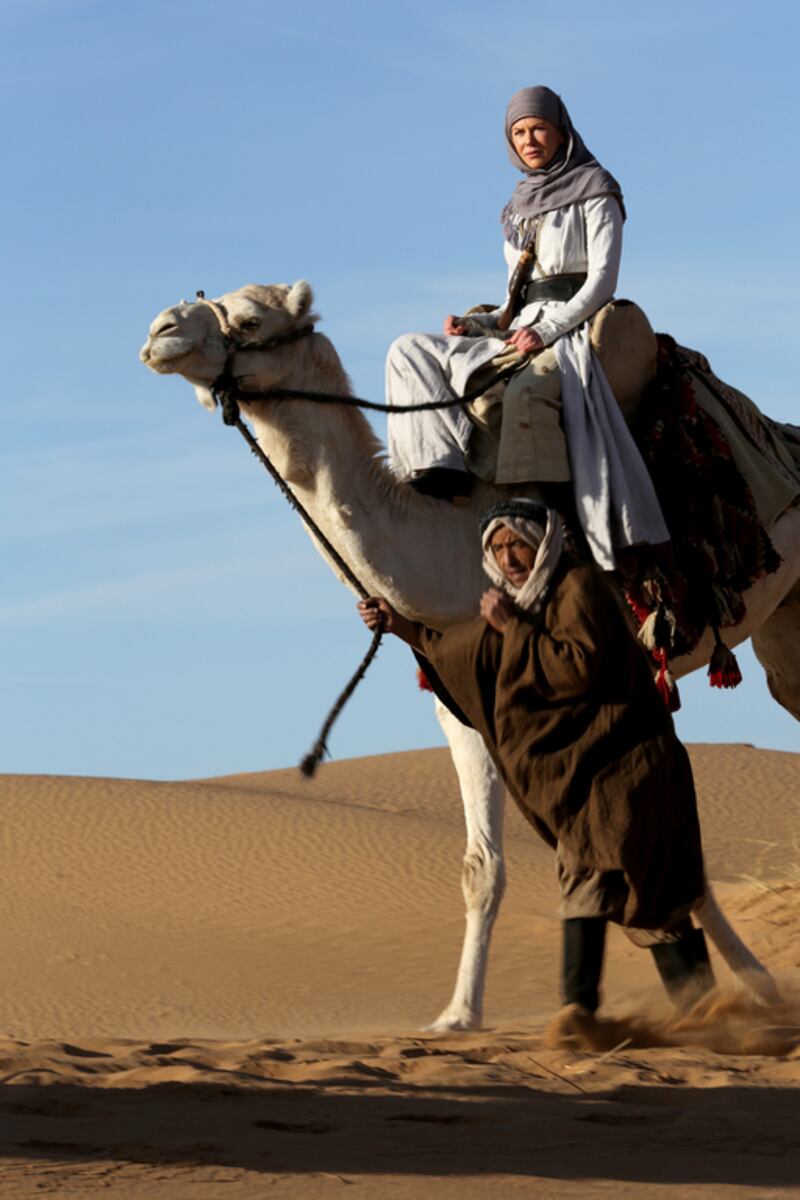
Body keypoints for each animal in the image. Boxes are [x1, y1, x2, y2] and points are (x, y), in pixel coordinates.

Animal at [140, 278, 796, 1022]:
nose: (160, 331)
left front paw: (739, 984)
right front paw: (457, 1014)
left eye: (249, 319)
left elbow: (647, 826)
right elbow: (483, 866)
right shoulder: (463, 706)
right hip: (781, 623)